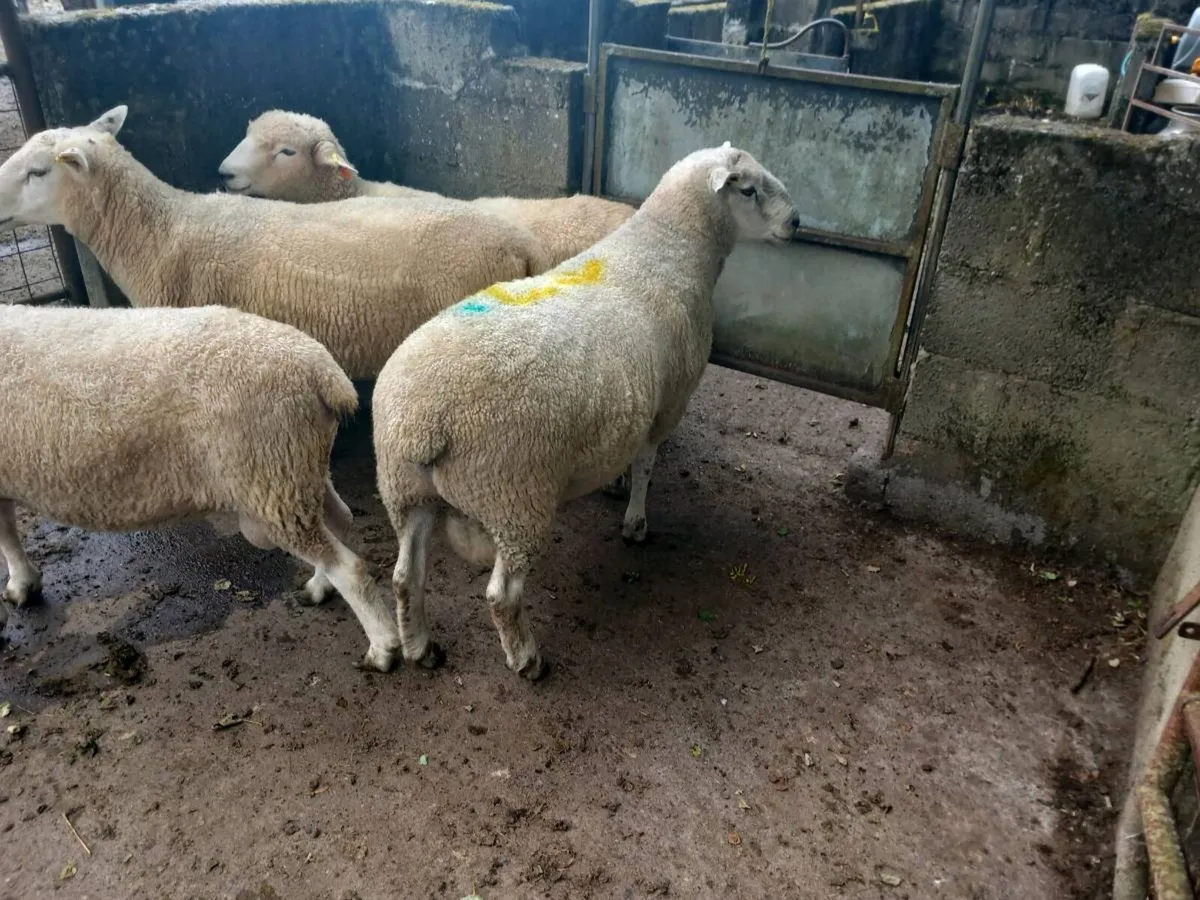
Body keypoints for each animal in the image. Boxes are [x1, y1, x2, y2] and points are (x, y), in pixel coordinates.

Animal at [0, 303, 402, 671]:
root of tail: (323, 373)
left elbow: (5, 536)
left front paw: (21, 585)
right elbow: (7, 531)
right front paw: (25, 581)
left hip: (269, 476)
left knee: (349, 567)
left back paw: (383, 647)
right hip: (293, 469)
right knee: (339, 521)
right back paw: (320, 587)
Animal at [371, 143, 799, 679]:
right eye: (749, 190)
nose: (797, 223)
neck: (670, 249)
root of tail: (422, 422)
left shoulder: (638, 402)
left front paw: (616, 487)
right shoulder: (670, 400)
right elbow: (647, 463)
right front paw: (635, 521)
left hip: (406, 491)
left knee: (405, 577)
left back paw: (421, 648)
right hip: (515, 496)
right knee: (501, 595)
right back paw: (527, 659)